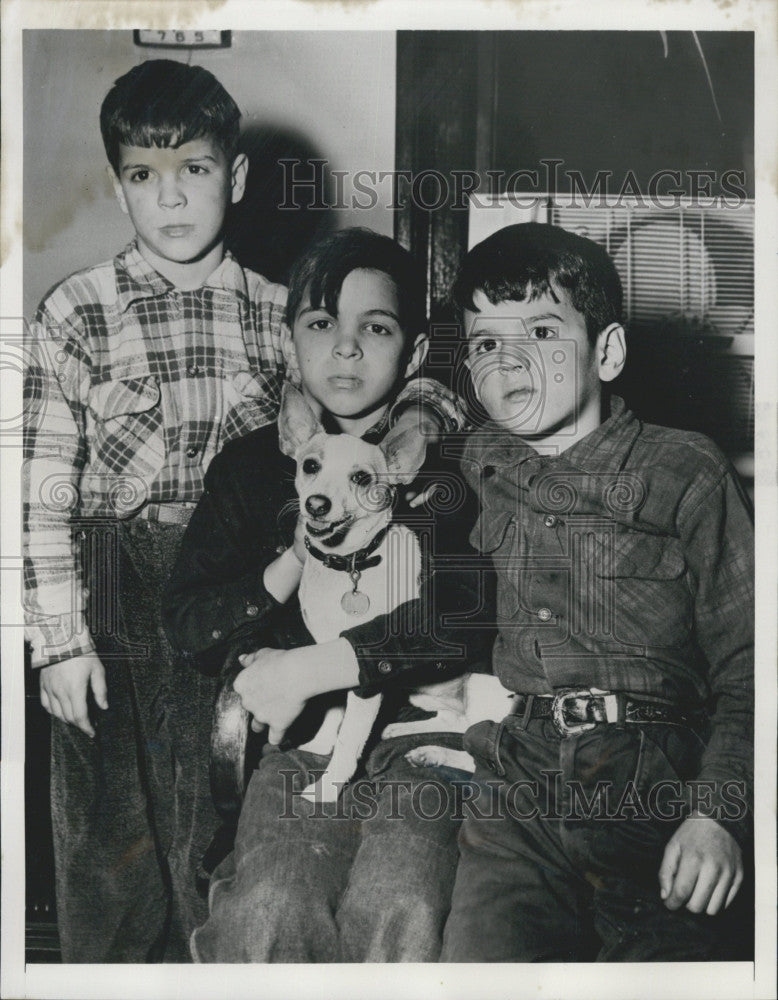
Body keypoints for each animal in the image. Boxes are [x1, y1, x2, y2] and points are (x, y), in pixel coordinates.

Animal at [276, 384, 512, 804]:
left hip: (484, 687)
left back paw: (434, 753)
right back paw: (399, 733)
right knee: (458, 720)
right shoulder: (332, 660)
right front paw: (321, 743)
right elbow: (334, 712)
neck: (350, 564)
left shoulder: (365, 679)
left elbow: (350, 738)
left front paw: (329, 785)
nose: (316, 505)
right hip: (425, 691)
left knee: (484, 753)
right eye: (310, 466)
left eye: (361, 478)